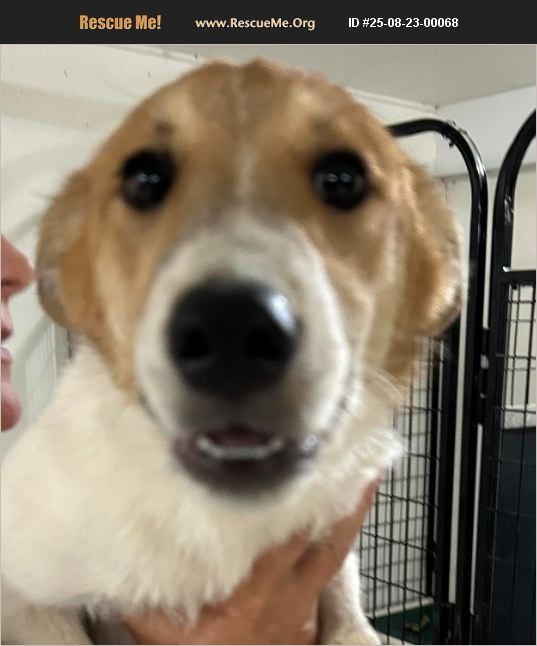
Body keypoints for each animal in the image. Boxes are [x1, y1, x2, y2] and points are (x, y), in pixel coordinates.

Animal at [1, 59, 462, 645]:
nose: (231, 330)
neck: (224, 524)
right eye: (144, 179)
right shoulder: (22, 587)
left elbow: (348, 608)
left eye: (343, 179)